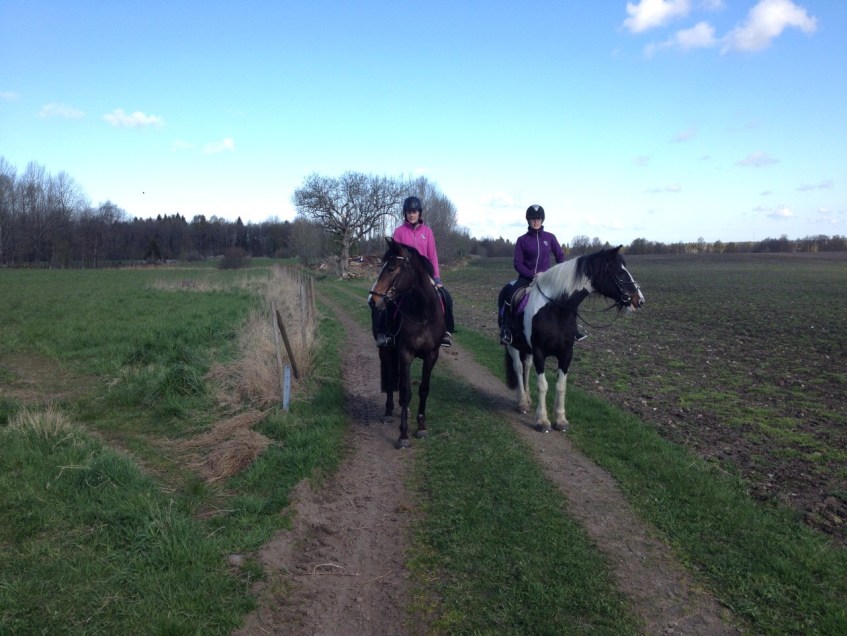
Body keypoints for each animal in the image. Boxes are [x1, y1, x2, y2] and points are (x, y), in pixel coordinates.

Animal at [368, 237, 446, 449]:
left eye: (391, 268)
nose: (372, 300)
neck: (424, 314)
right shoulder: (405, 354)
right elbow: (404, 392)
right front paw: (403, 435)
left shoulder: (431, 355)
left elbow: (423, 390)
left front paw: (421, 426)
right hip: (386, 351)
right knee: (389, 377)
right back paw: (388, 412)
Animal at [498, 246, 645, 433]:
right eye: (619, 272)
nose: (639, 300)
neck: (556, 309)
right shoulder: (539, 352)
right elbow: (543, 385)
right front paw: (543, 421)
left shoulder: (567, 353)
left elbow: (561, 386)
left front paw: (560, 420)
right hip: (513, 345)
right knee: (518, 367)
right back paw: (523, 402)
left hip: (526, 348)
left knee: (527, 367)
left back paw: (528, 399)